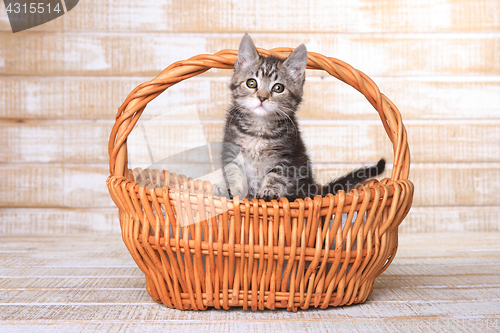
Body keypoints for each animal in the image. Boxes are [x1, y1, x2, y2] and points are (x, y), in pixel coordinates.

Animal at [213, 33, 384, 201]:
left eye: (278, 88)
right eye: (251, 83)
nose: (262, 97)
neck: (259, 130)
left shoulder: (290, 154)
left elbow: (277, 174)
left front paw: (269, 190)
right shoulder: (231, 148)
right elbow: (233, 171)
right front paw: (232, 189)